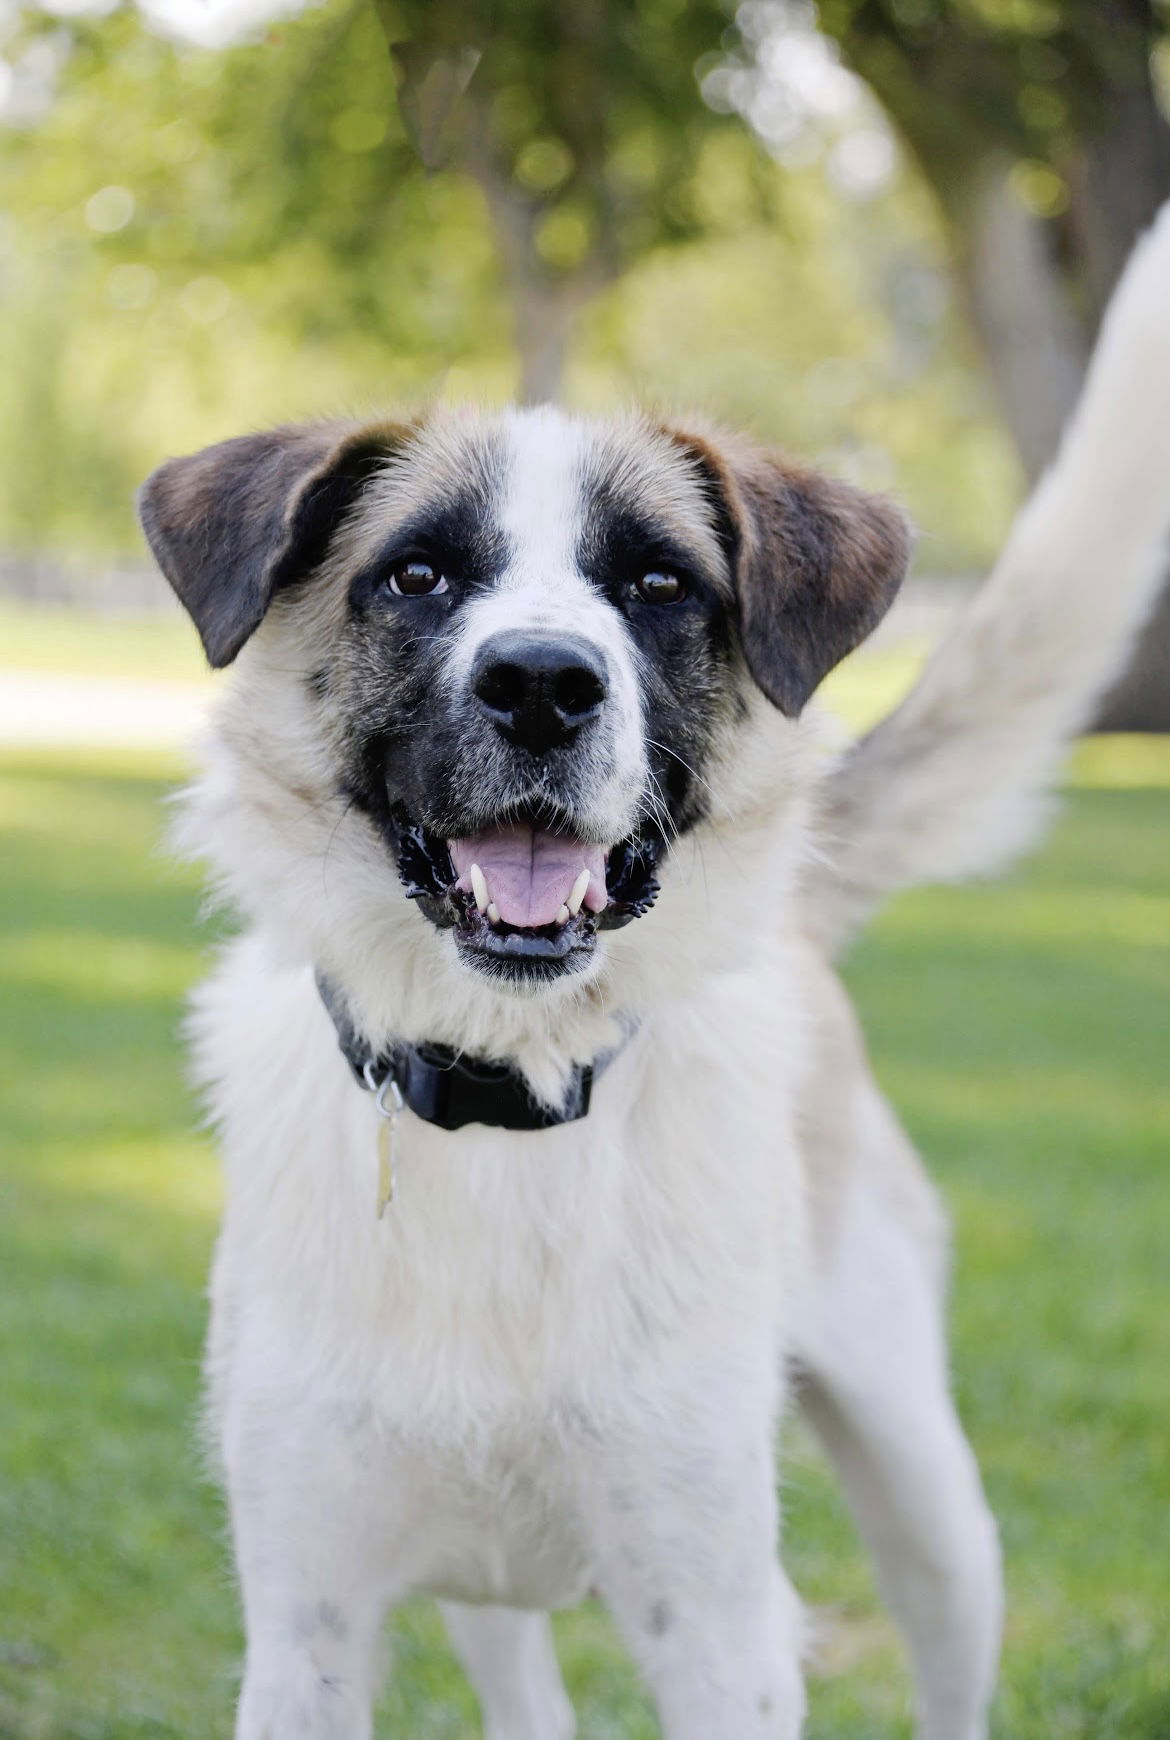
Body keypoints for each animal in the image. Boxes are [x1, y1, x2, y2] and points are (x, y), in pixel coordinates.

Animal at [134, 197, 1170, 1733]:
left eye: (657, 583)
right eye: (418, 574)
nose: (543, 684)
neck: (510, 1098)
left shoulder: (720, 1620)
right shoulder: (306, 1622)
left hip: (929, 1498)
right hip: (484, 1589)